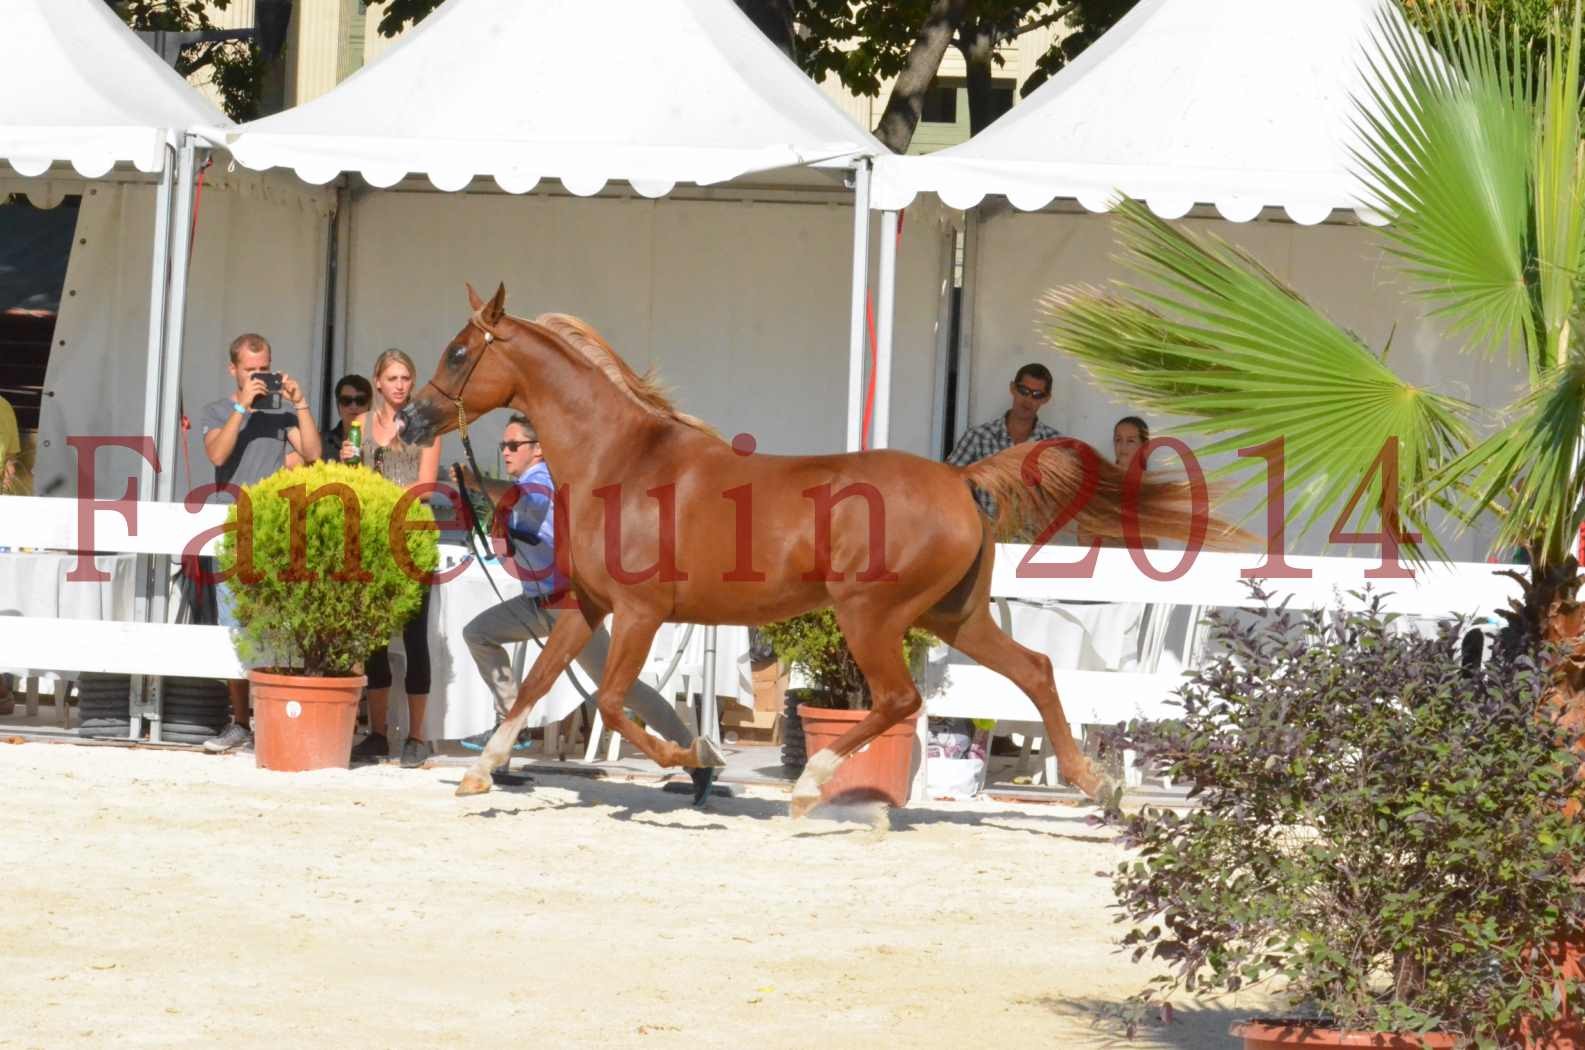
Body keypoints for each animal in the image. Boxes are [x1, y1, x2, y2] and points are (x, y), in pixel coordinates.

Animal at [402, 283, 1229, 818]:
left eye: (458, 351)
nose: (410, 419)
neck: (624, 461)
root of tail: (959, 481)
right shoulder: (587, 605)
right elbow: (537, 680)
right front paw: (480, 773)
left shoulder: (639, 613)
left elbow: (607, 697)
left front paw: (692, 761)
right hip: (957, 615)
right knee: (1034, 670)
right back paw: (1100, 787)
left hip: (872, 616)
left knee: (899, 699)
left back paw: (808, 787)